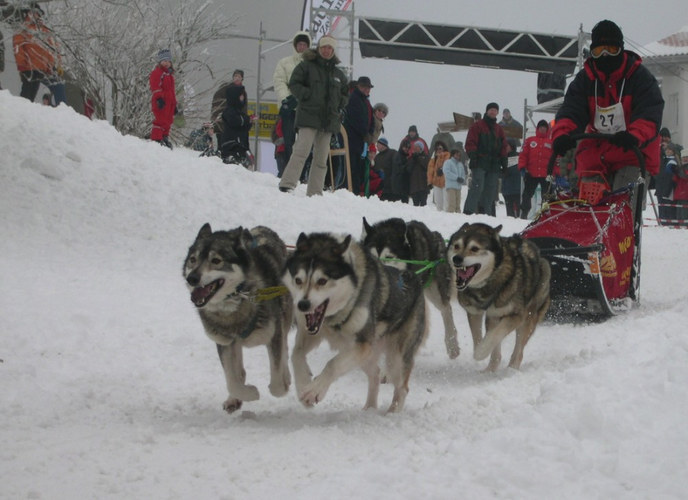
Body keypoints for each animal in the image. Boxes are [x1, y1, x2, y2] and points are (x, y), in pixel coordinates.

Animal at [181, 225, 292, 412]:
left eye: (216, 260)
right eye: (193, 259)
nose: (192, 278)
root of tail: (263, 229)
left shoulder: (274, 334)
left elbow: (277, 383)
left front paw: (282, 383)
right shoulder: (225, 342)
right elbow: (232, 381)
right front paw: (250, 393)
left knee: (284, 350)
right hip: (235, 344)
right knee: (239, 372)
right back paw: (234, 398)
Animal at [284, 232, 424, 412]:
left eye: (322, 281)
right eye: (298, 280)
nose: (302, 305)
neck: (333, 319)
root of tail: (412, 278)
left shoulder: (362, 345)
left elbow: (332, 364)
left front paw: (314, 390)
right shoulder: (311, 334)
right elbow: (296, 354)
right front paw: (303, 384)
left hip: (395, 358)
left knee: (402, 388)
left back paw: (392, 413)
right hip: (364, 354)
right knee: (375, 373)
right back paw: (369, 408)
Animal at [448, 224, 552, 372]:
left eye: (474, 249)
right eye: (456, 246)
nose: (457, 258)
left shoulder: (516, 316)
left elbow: (495, 335)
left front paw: (480, 352)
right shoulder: (475, 312)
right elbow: (481, 337)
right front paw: (482, 350)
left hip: (528, 317)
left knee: (518, 352)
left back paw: (511, 369)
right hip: (494, 316)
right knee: (496, 349)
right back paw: (490, 370)